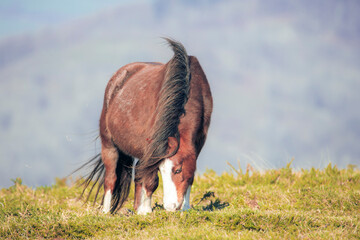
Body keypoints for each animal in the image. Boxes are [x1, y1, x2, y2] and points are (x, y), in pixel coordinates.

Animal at [75, 38, 211, 215]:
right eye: (162, 170)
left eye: (177, 170)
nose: (170, 206)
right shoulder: (154, 147)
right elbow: (151, 178)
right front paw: (146, 211)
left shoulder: (197, 143)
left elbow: (190, 174)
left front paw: (185, 208)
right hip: (109, 145)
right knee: (111, 178)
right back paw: (106, 211)